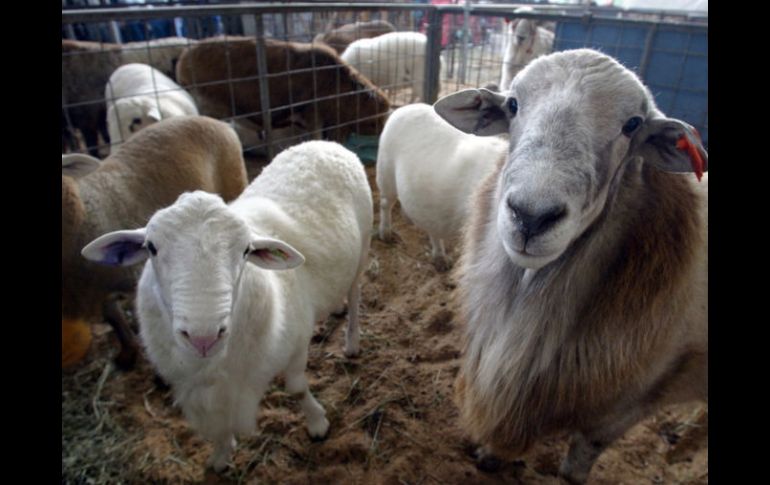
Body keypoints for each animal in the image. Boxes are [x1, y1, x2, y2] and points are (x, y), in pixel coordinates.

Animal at [82, 139, 374, 468]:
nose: (203, 337)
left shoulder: (297, 342)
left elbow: (297, 389)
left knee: (355, 294)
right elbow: (219, 424)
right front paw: (220, 456)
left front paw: (317, 424)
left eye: (246, 250)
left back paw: (352, 341)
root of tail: (323, 143)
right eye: (151, 248)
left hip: (362, 248)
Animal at [432, 48, 708, 480]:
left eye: (632, 125)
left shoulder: (621, 412)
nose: (531, 216)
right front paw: (490, 456)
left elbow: (574, 468)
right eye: (513, 105)